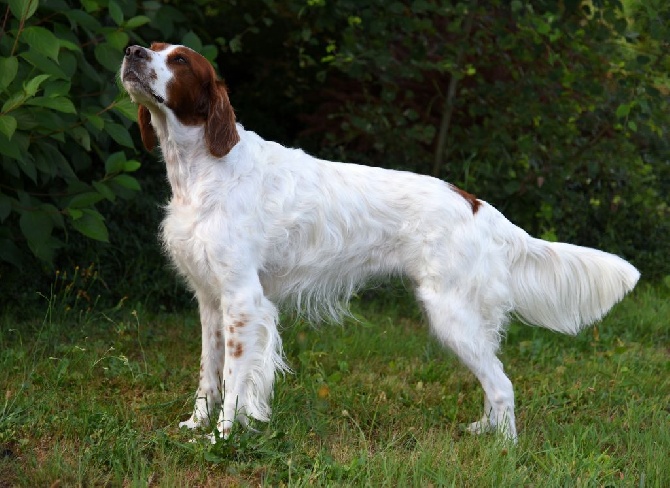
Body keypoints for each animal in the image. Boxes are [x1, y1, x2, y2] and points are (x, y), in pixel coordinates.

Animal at [121, 43, 640, 444]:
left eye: (180, 60)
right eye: (154, 46)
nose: (132, 51)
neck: (204, 170)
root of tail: (476, 204)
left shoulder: (244, 300)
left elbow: (234, 380)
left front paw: (225, 437)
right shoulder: (211, 301)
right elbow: (209, 376)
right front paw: (195, 426)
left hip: (452, 315)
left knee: (503, 385)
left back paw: (504, 450)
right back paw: (484, 431)